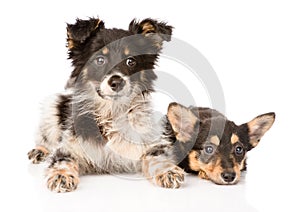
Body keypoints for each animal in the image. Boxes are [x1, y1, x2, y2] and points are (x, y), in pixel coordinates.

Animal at [28, 17, 184, 192]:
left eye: (131, 61)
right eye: (100, 60)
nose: (117, 82)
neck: (111, 112)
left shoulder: (148, 141)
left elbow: (157, 156)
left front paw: (167, 170)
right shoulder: (70, 147)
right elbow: (61, 159)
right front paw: (61, 175)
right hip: (51, 109)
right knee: (45, 139)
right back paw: (39, 151)